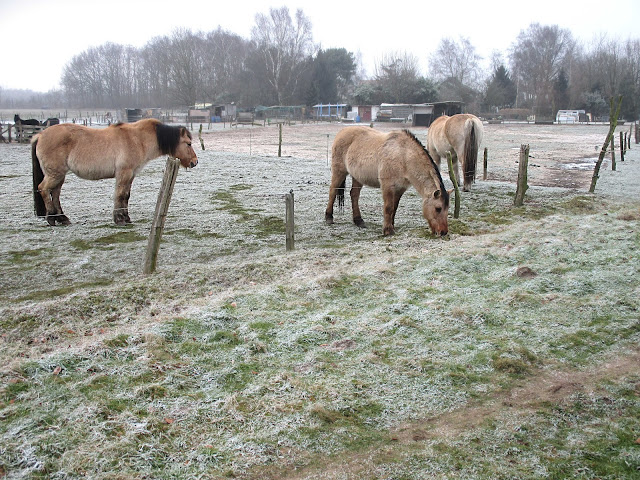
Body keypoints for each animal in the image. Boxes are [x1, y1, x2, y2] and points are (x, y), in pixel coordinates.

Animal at [31, 119, 198, 226]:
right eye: (188, 144)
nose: (195, 162)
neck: (138, 139)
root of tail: (40, 135)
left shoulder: (131, 174)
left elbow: (126, 196)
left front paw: (126, 217)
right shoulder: (124, 173)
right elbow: (120, 195)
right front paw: (120, 220)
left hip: (60, 176)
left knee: (55, 193)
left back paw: (62, 218)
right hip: (55, 174)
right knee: (43, 189)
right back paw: (51, 219)